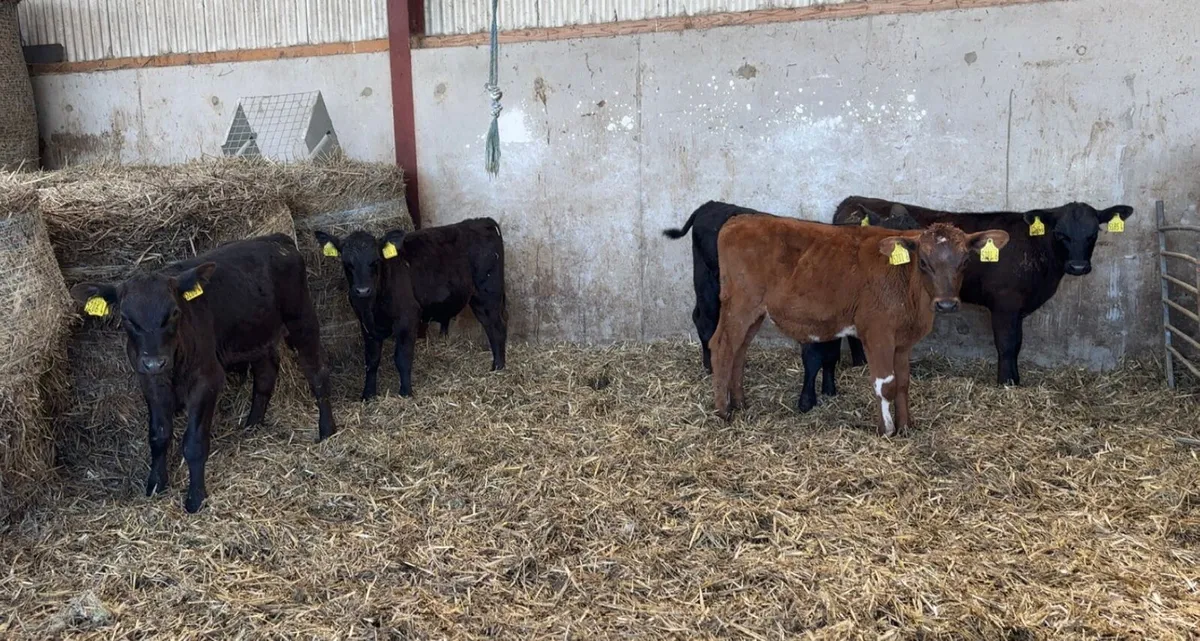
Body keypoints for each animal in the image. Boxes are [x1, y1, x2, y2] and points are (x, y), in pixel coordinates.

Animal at [69, 234, 336, 513]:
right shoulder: (149, 381)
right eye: (126, 317)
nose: (155, 361)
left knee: (317, 372)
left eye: (174, 313)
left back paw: (327, 430)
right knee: (266, 373)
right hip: (256, 333)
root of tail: (276, 239)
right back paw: (252, 425)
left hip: (302, 320)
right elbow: (158, 434)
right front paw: (156, 483)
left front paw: (195, 497)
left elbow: (194, 443)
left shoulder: (206, 381)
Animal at [314, 217, 506, 400]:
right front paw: (368, 395)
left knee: (496, 329)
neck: (373, 305)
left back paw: (498, 367)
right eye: (347, 263)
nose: (362, 290)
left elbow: (402, 357)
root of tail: (482, 221)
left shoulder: (407, 317)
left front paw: (405, 392)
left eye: (375, 261)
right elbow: (371, 360)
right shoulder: (366, 324)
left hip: (487, 295)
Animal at [709, 215, 1009, 435]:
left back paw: (740, 403)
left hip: (755, 313)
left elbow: (903, 383)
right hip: (740, 305)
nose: (946, 304)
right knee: (722, 347)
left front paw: (906, 426)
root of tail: (739, 220)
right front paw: (886, 430)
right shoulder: (877, 332)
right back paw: (723, 411)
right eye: (923, 262)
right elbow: (885, 384)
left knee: (739, 351)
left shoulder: (903, 342)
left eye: (965, 261)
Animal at [805, 197, 1134, 388]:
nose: (1078, 266)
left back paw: (860, 362)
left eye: (1093, 233)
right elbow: (1008, 344)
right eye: (1061, 233)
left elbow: (1018, 343)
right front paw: (1007, 383)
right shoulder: (1005, 304)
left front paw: (1015, 379)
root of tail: (850, 202)